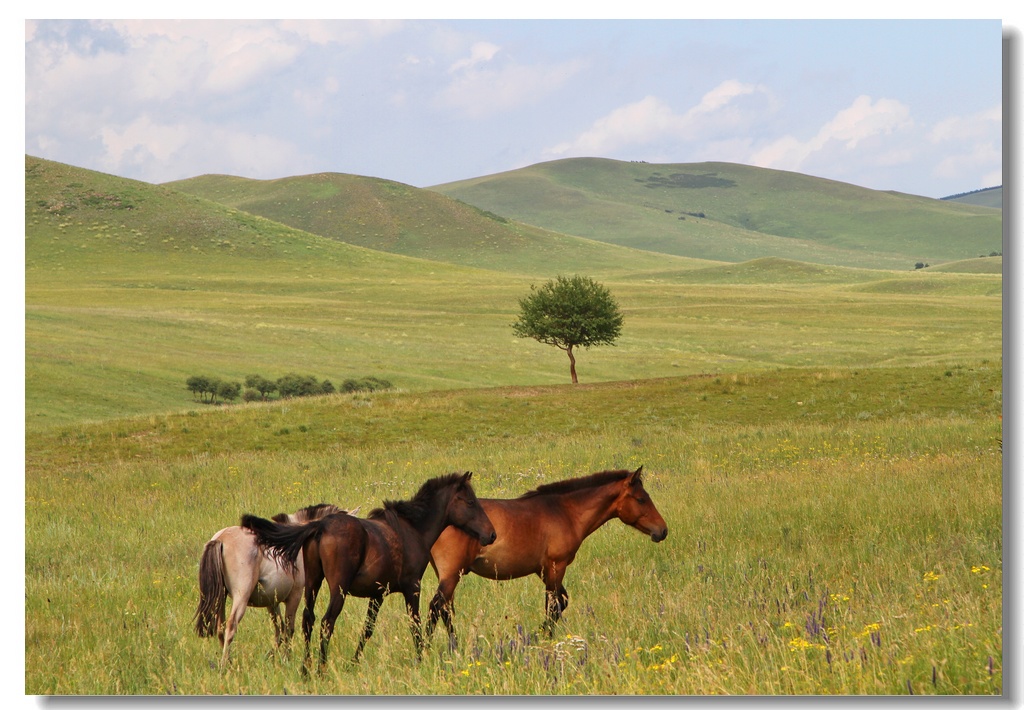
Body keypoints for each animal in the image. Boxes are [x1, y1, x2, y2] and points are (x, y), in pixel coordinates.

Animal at [192, 502, 352, 663]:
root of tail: (221, 539)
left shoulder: (271, 601)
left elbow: (279, 630)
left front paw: (271, 656)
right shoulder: (295, 595)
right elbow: (289, 629)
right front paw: (286, 659)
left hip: (221, 597)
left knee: (221, 627)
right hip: (241, 596)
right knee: (231, 625)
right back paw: (225, 664)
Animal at [240, 473, 495, 667]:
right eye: (470, 502)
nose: (491, 535)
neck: (412, 529)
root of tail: (320, 525)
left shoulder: (377, 594)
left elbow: (368, 629)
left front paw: (354, 662)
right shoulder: (412, 587)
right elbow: (415, 625)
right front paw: (421, 659)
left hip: (313, 583)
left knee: (308, 620)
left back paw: (306, 668)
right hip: (338, 589)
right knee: (326, 622)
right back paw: (321, 668)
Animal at [421, 465, 663, 647]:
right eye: (641, 499)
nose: (662, 530)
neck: (564, 511)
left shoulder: (543, 570)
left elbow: (561, 602)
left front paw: (538, 634)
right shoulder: (557, 566)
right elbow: (553, 606)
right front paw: (544, 637)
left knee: (444, 610)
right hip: (452, 574)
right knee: (436, 608)